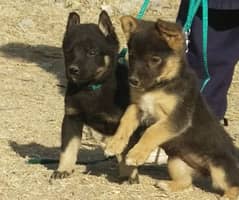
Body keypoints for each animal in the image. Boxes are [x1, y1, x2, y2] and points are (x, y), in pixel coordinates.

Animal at [51, 11, 140, 183]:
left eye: (92, 52)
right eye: (69, 51)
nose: (73, 70)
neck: (92, 87)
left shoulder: (125, 124)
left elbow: (126, 151)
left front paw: (128, 175)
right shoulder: (72, 118)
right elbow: (68, 148)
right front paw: (63, 170)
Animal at [105, 16, 239, 200]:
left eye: (155, 59)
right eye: (132, 56)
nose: (132, 81)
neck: (159, 86)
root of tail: (203, 171)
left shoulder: (177, 118)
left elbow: (152, 131)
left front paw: (136, 154)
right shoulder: (138, 107)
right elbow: (125, 121)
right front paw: (114, 144)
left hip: (221, 169)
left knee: (233, 186)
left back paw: (227, 196)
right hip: (176, 162)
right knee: (186, 182)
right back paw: (167, 185)